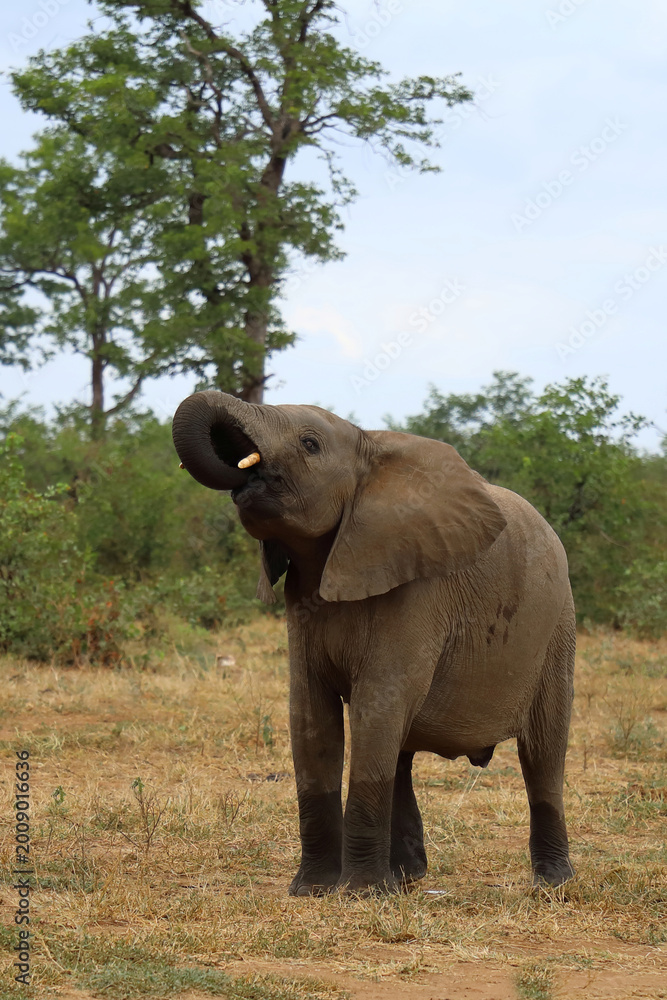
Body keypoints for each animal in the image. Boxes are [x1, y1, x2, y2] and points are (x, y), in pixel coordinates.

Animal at [172, 390, 576, 895]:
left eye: (309, 444)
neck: (368, 444)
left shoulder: (417, 591)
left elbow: (376, 704)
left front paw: (358, 894)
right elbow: (311, 716)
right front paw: (313, 890)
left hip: (558, 626)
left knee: (542, 752)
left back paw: (552, 885)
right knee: (399, 750)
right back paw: (404, 878)